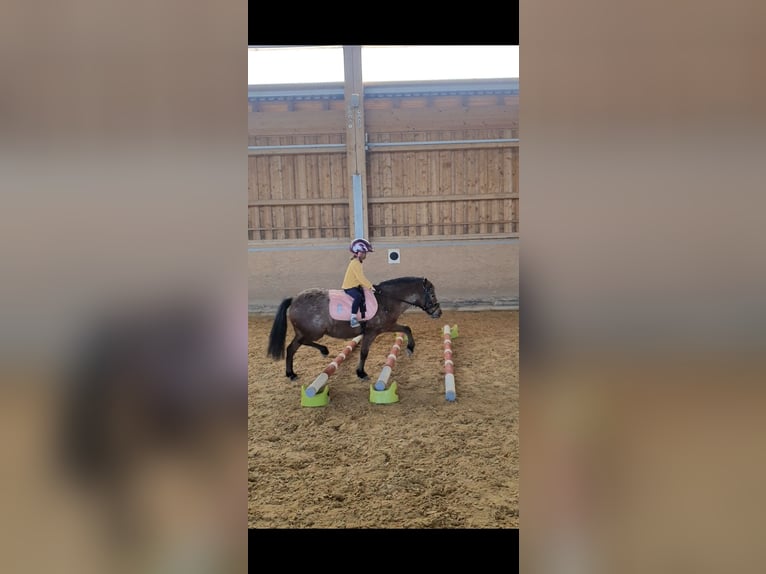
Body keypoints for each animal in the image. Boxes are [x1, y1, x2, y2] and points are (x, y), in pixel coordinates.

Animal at [268, 280, 444, 382]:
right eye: (432, 294)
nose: (438, 313)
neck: (386, 300)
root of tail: (294, 299)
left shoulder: (387, 326)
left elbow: (406, 328)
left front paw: (410, 348)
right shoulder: (372, 332)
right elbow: (364, 353)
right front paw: (361, 373)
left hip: (306, 332)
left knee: (292, 348)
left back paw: (292, 372)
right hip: (313, 332)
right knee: (296, 345)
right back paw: (320, 353)